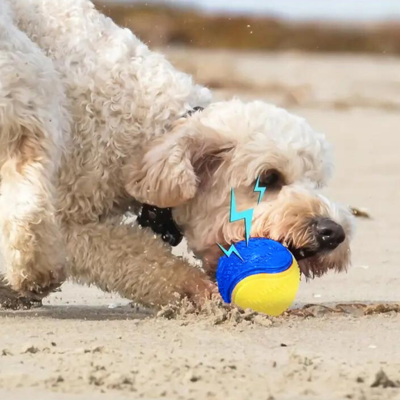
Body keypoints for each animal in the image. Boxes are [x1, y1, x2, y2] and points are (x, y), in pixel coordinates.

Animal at [0, 0, 354, 308]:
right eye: (268, 178)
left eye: (317, 183)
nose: (333, 232)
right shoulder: (69, 216)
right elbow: (136, 255)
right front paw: (194, 287)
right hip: (31, 86)